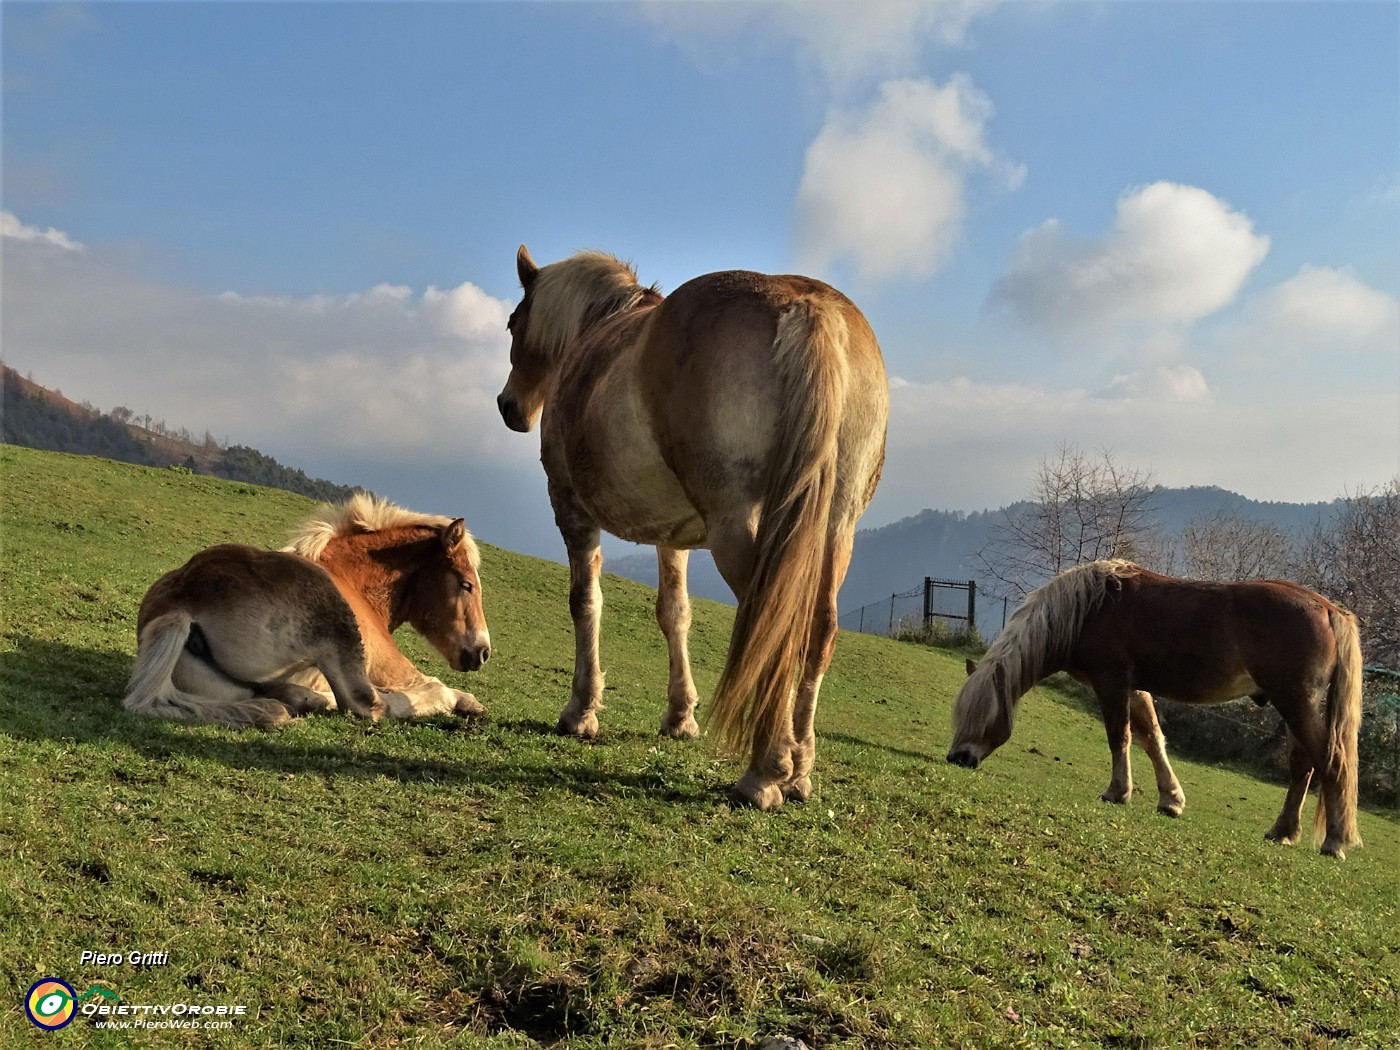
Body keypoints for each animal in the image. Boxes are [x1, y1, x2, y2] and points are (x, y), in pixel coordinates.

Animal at [123, 495, 492, 728]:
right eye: (466, 585)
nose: (482, 652)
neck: (351, 577)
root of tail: (182, 602)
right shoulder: (392, 665)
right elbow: (428, 686)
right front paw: (465, 701)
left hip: (227, 691)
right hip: (339, 632)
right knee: (369, 704)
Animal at [501, 246, 884, 812]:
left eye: (513, 323)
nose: (509, 407)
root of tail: (807, 306)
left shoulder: (570, 508)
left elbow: (585, 602)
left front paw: (581, 710)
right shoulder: (673, 534)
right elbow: (674, 613)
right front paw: (681, 716)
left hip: (739, 529)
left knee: (772, 627)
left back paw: (764, 772)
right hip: (837, 530)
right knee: (818, 631)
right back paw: (798, 769)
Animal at [946, 562, 1360, 856]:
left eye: (983, 715)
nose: (957, 758)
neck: (1090, 609)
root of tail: (1329, 610)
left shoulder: (1111, 682)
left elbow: (1120, 736)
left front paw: (1117, 792)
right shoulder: (1134, 687)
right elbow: (1150, 738)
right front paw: (1171, 800)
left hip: (1295, 702)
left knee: (1330, 761)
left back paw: (1334, 841)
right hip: (1294, 706)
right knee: (1303, 766)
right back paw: (1283, 832)